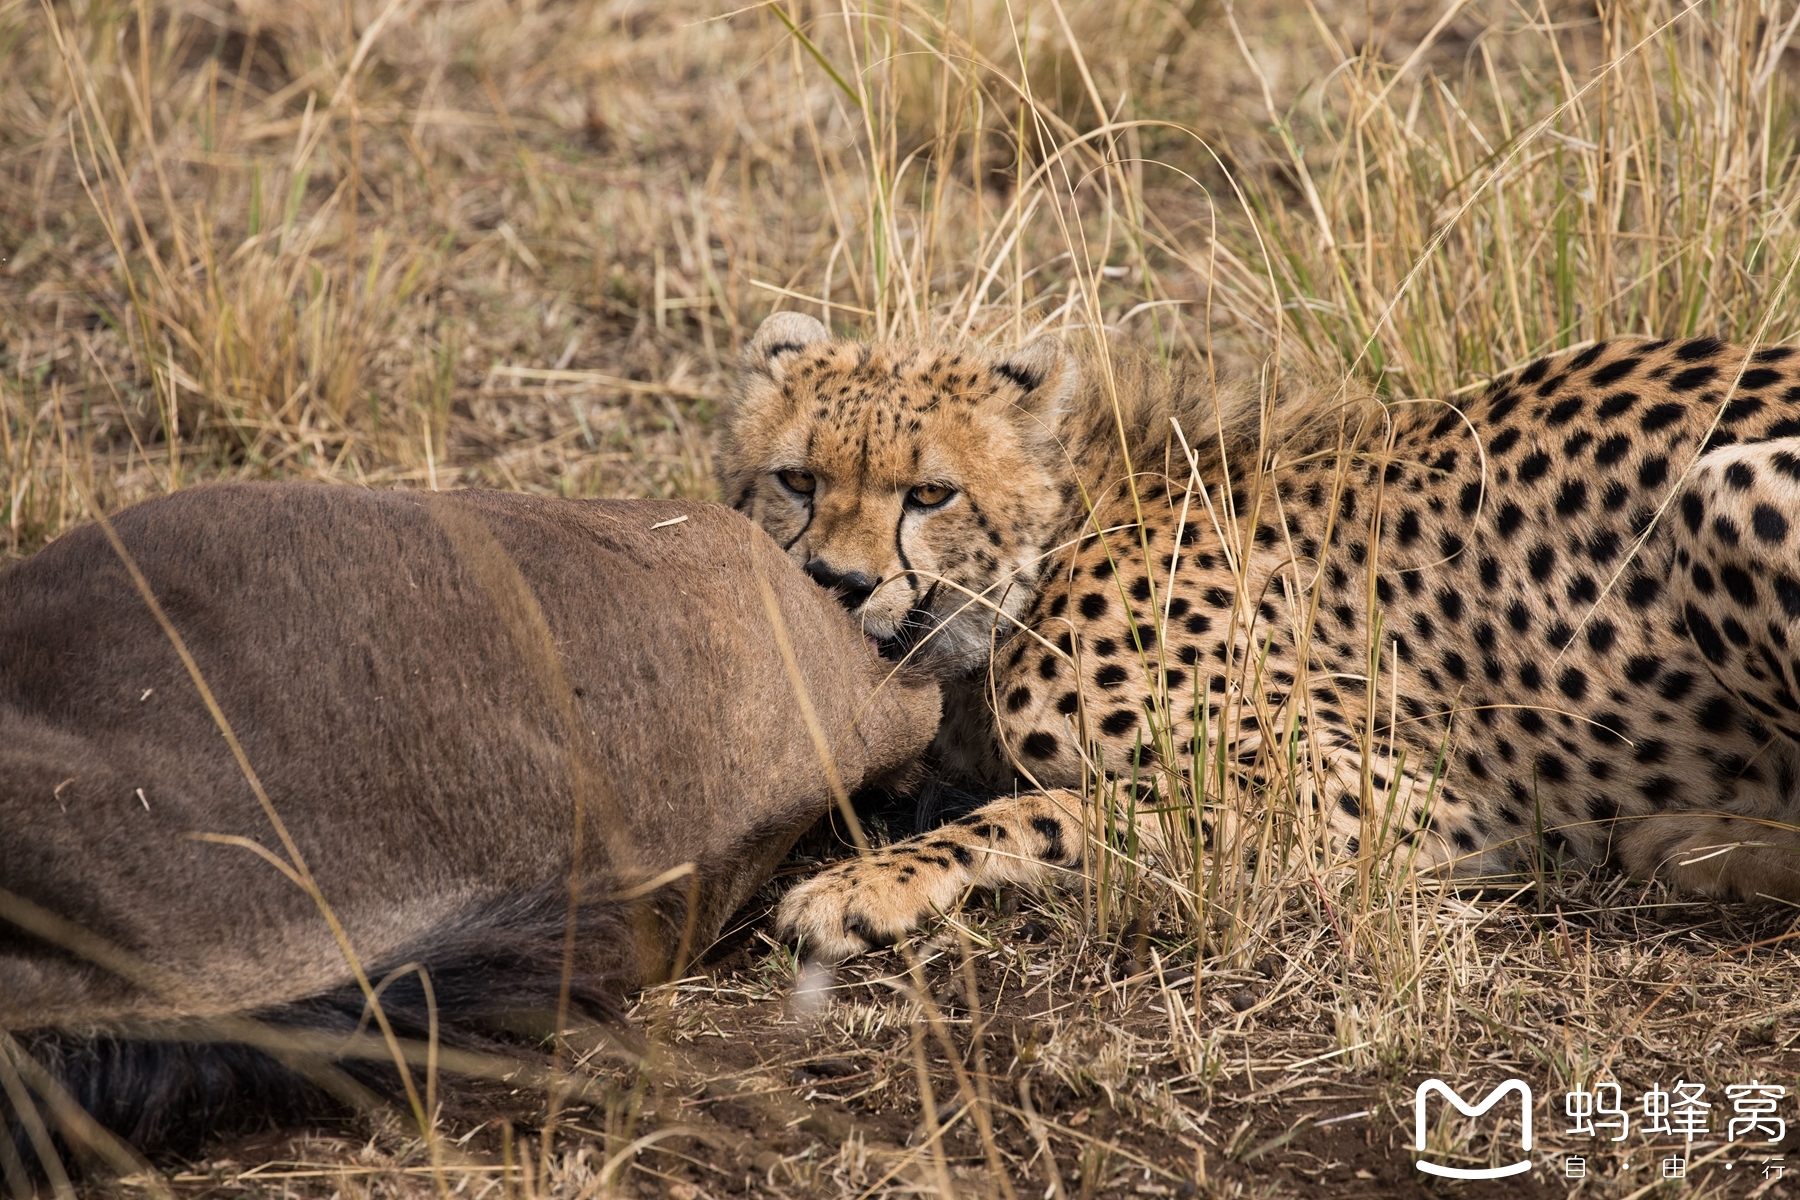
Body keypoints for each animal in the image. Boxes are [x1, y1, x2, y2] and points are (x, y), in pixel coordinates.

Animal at [723, 314, 1800, 964]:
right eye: (798, 481)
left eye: (930, 494)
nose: (837, 584)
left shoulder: (1383, 795)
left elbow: (1050, 810)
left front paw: (864, 886)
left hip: (1730, 483)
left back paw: (1690, 842)